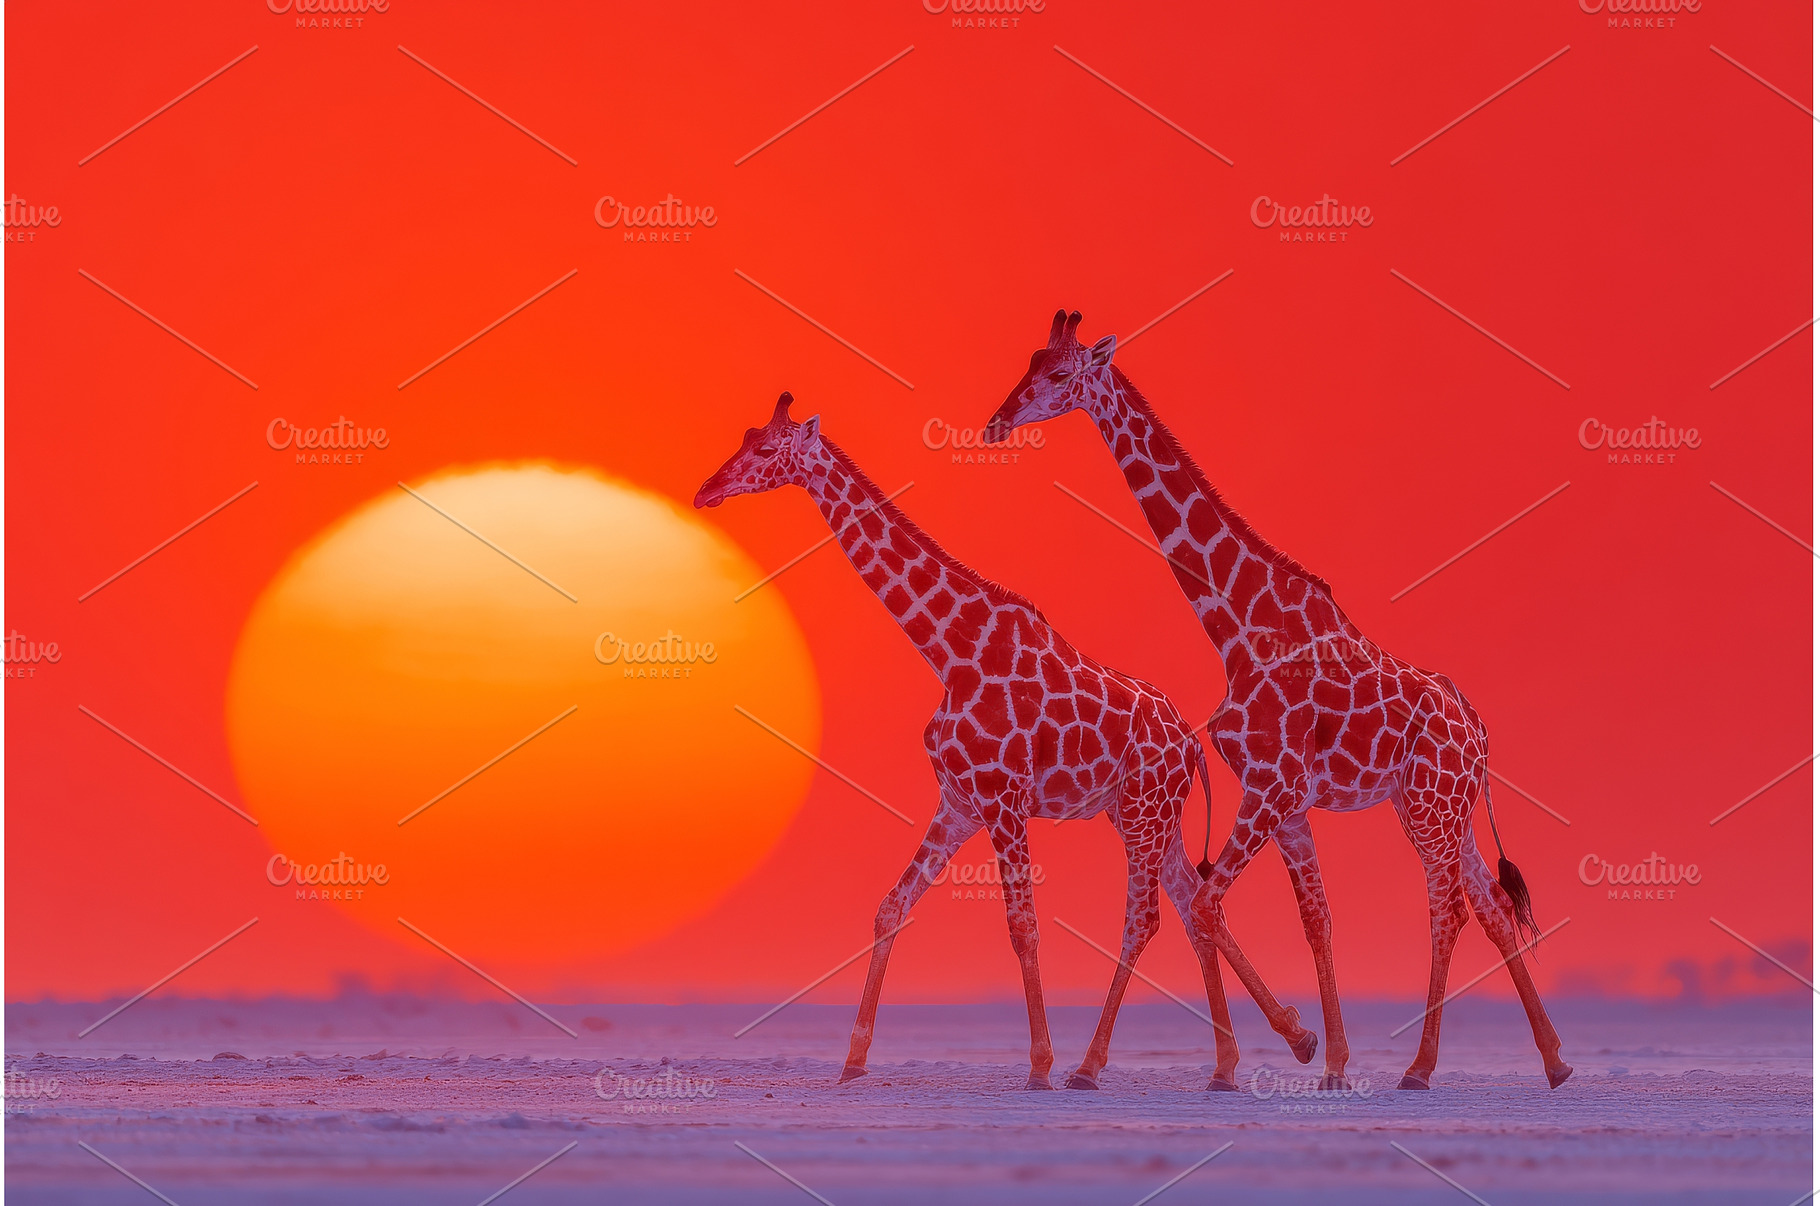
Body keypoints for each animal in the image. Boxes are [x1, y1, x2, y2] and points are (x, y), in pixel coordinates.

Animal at [695, 392, 1319, 1091]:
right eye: (745, 435)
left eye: (766, 449)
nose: (706, 490)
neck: (951, 654)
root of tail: (1192, 747)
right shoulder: (960, 802)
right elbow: (890, 907)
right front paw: (853, 1060)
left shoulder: (1004, 800)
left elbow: (1023, 927)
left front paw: (1040, 1064)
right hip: (1139, 812)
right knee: (1192, 904)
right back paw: (1259, 1052)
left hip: (1144, 809)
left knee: (1150, 917)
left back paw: (1092, 1065)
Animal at [982, 311, 1573, 1091]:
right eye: (1027, 362)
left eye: (1056, 374)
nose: (997, 422)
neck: (1234, 626)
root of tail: (1477, 728)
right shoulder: (1287, 801)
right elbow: (1313, 918)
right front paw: (1331, 1061)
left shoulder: (1270, 786)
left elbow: (1207, 903)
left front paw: (1295, 1046)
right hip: (1440, 804)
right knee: (1493, 902)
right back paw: (1555, 1060)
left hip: (1429, 802)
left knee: (1449, 908)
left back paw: (1421, 1067)